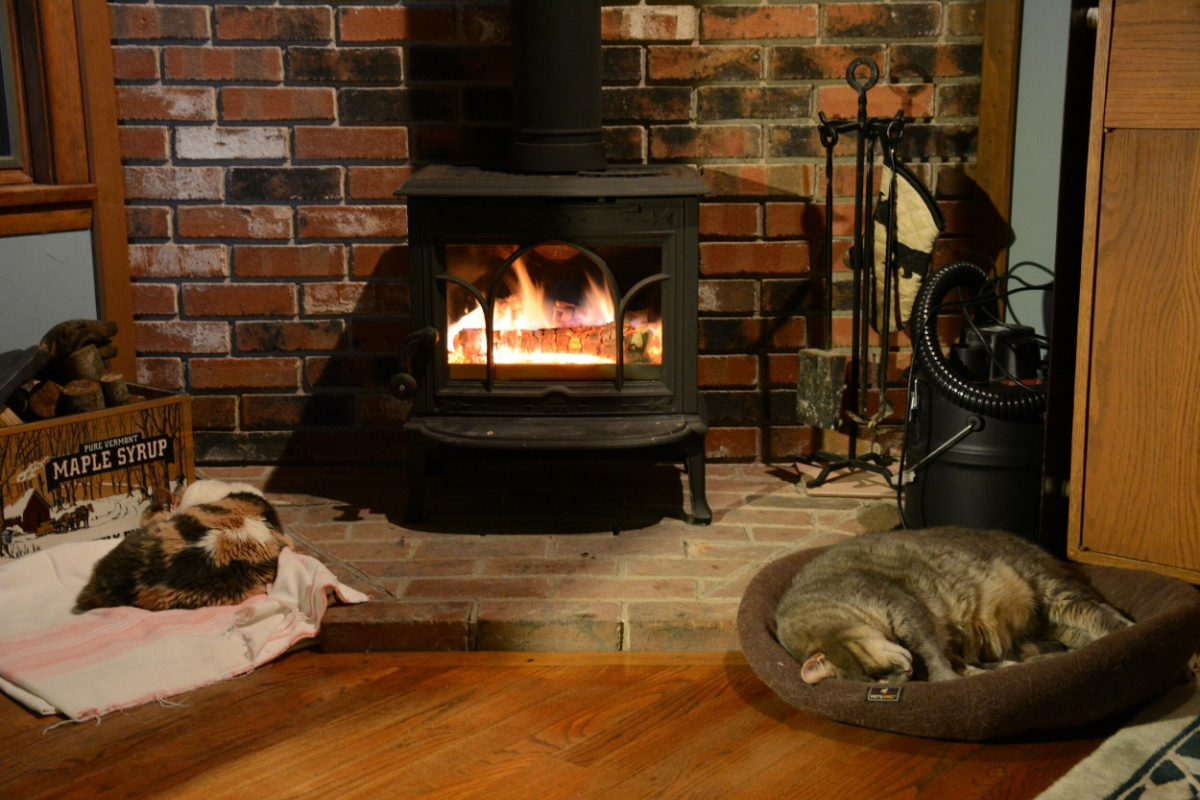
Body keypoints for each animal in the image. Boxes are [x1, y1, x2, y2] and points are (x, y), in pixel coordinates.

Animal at [777, 527, 1132, 686]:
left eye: (874, 674)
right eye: (884, 683)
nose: (906, 672)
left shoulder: (903, 607)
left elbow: (933, 655)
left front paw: (945, 678)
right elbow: (956, 662)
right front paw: (976, 672)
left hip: (1046, 588)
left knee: (1096, 610)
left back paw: (1125, 629)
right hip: (1050, 620)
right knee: (1075, 635)